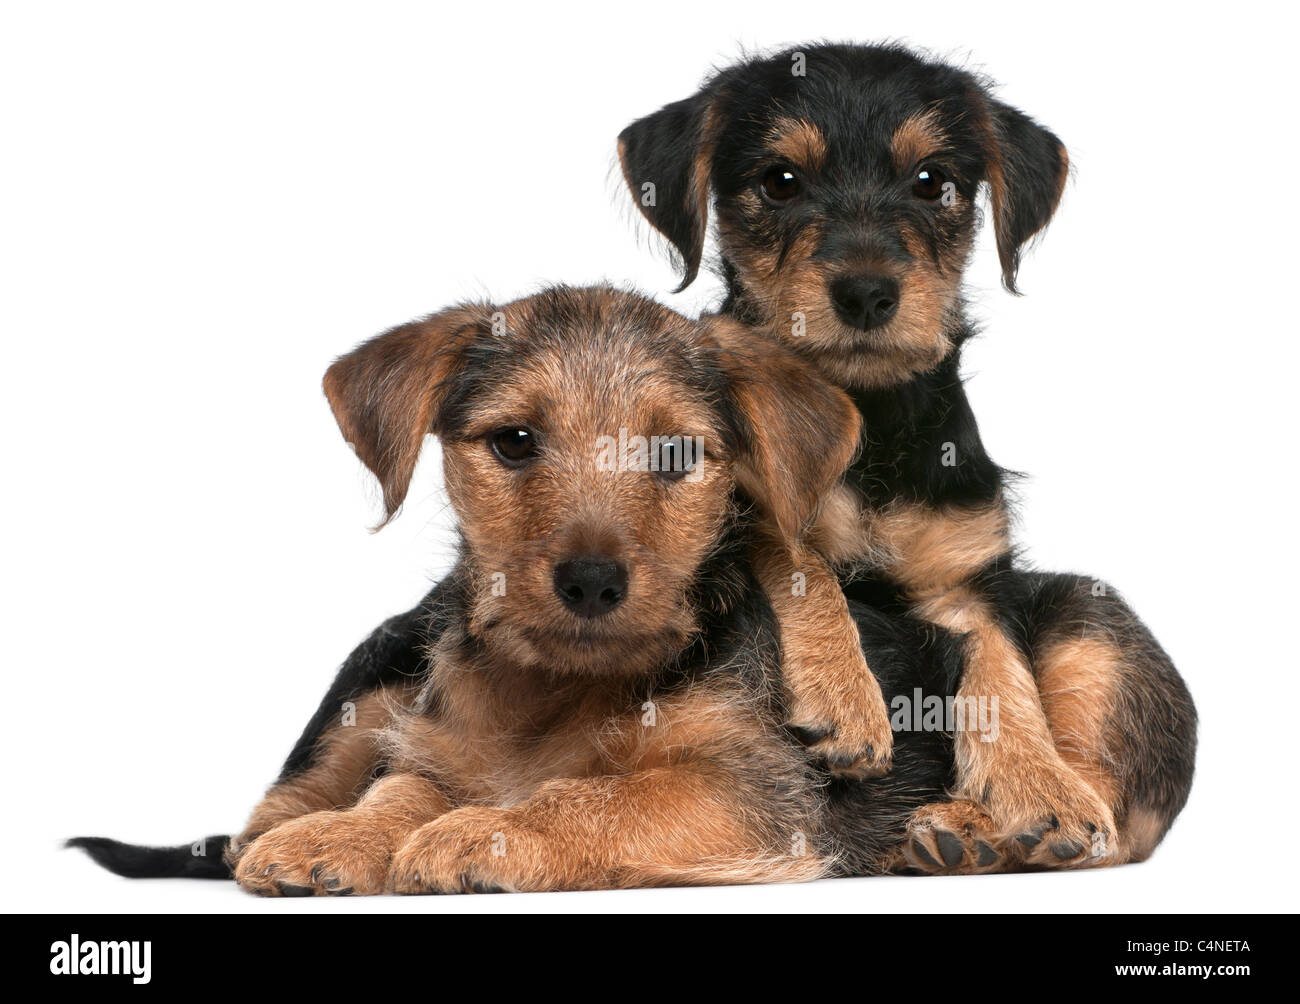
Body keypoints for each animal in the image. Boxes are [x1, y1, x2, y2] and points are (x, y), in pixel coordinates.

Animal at [618, 43, 1196, 868]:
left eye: (932, 181)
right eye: (779, 181)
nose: (866, 292)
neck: (874, 422)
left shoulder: (969, 577)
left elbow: (1003, 672)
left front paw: (1037, 785)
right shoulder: (740, 511)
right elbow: (802, 563)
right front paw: (846, 697)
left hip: (1092, 632)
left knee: (1117, 817)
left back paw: (987, 827)